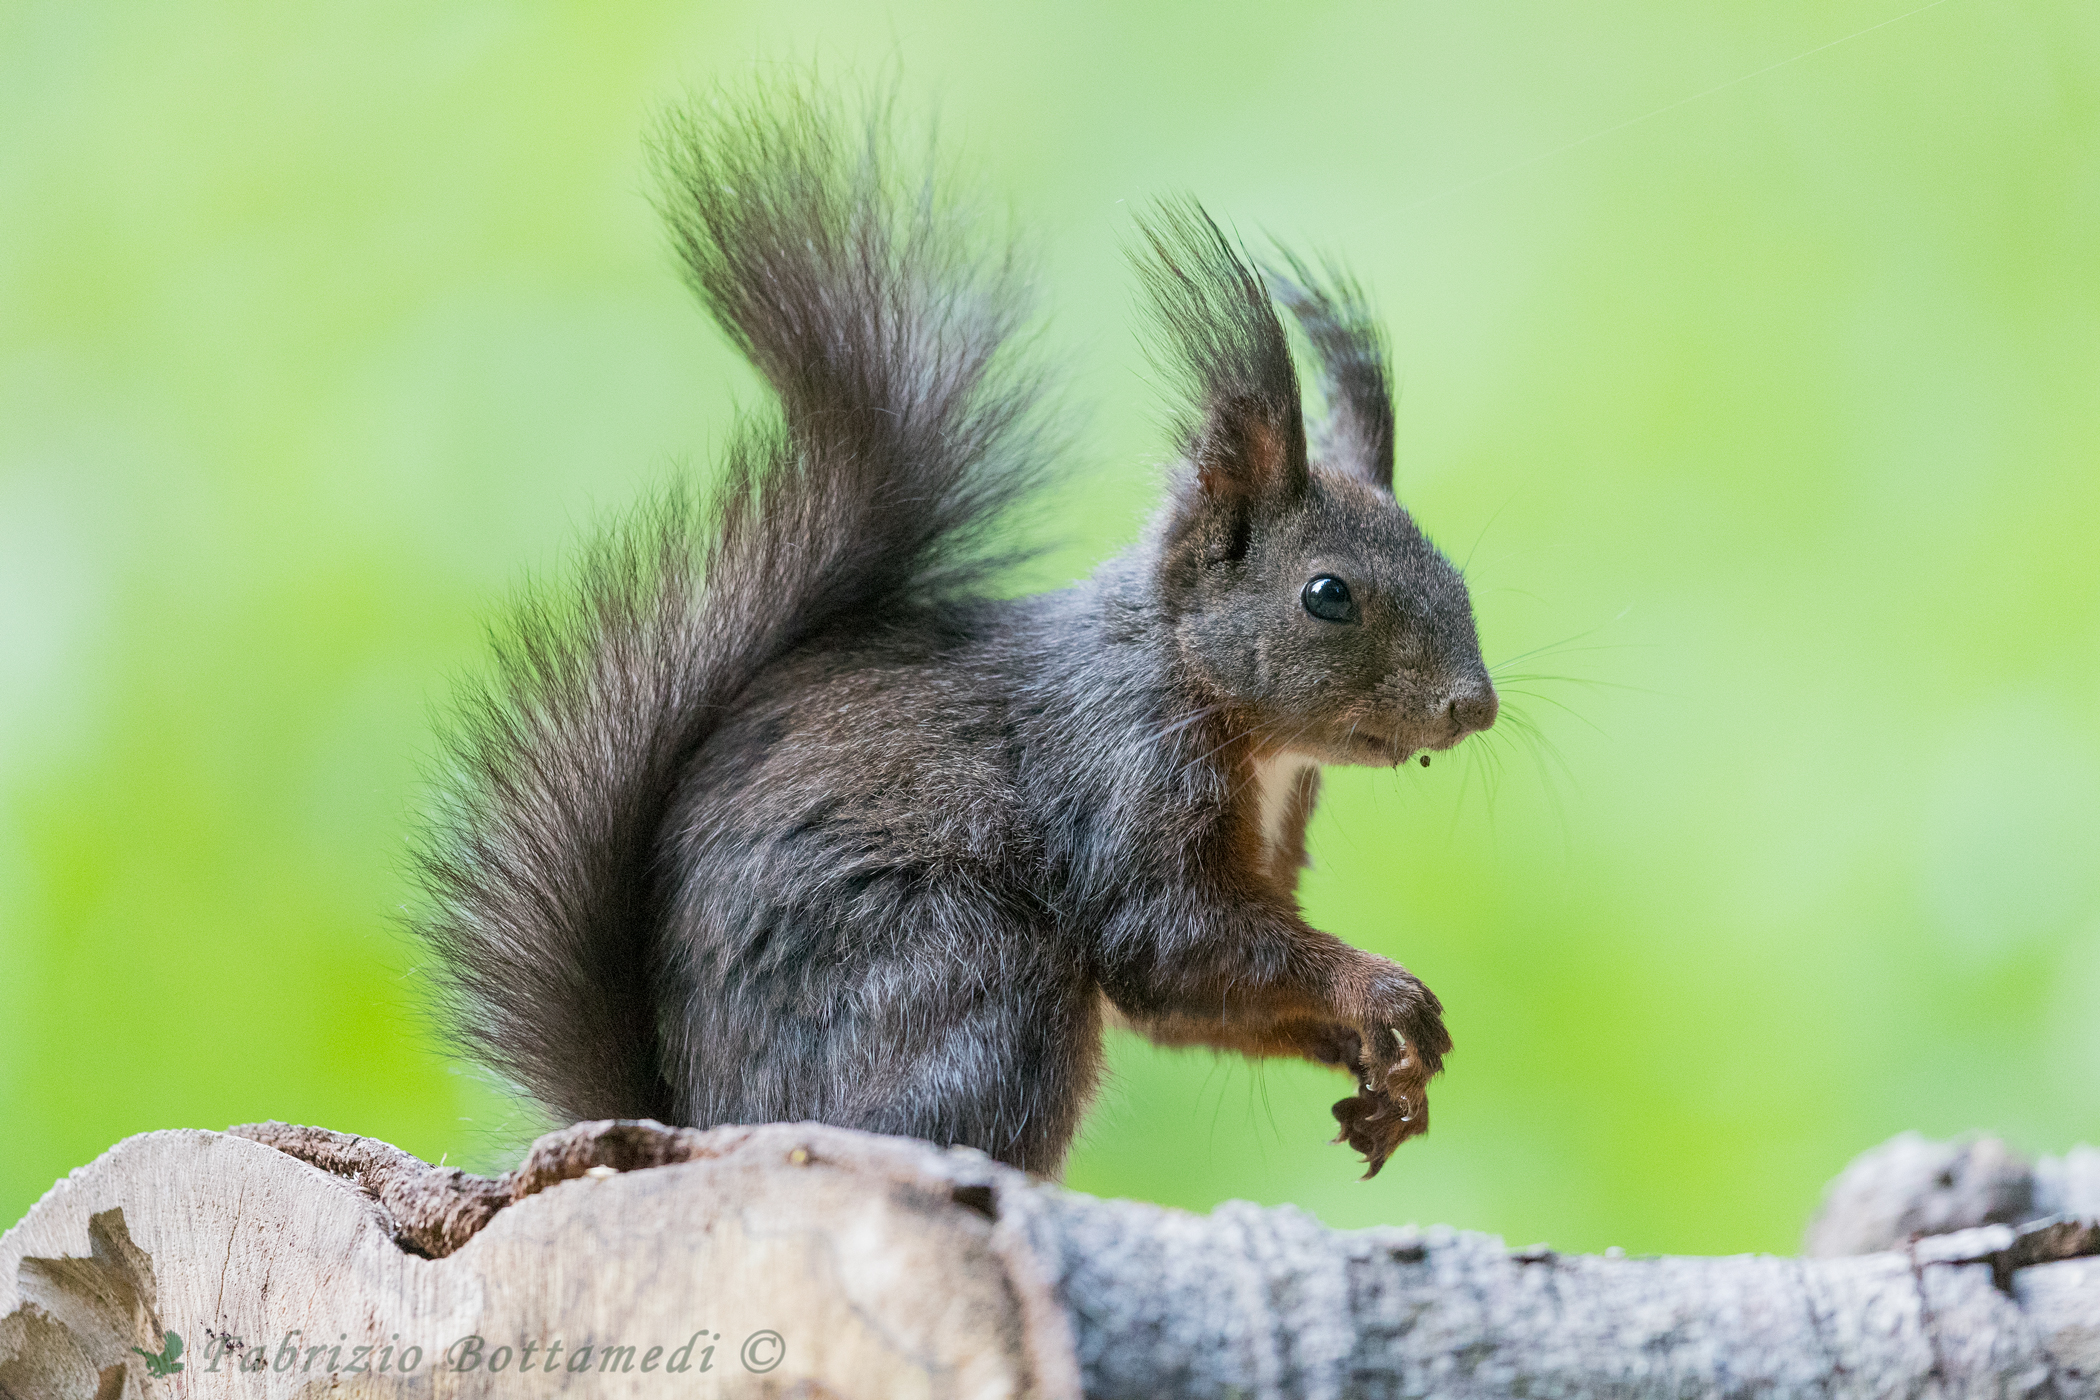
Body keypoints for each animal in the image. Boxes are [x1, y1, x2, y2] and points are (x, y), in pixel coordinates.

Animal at [416, 86, 1498, 1181]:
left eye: (1452, 569)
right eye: (1328, 594)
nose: (1475, 706)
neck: (1190, 674)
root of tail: (704, 1126)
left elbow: (1199, 1001)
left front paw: (1388, 1074)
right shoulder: (1118, 773)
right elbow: (1172, 945)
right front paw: (1383, 994)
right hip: (972, 971)